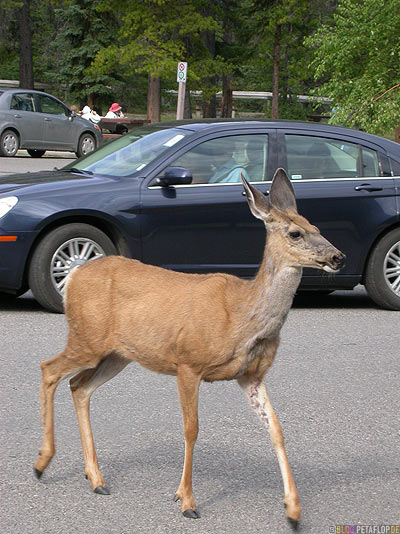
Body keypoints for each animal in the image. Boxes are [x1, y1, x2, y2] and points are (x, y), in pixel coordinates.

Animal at [32, 170, 344, 528]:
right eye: (295, 232)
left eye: (317, 227)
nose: (338, 257)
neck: (242, 316)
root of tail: (74, 275)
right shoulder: (188, 363)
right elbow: (191, 429)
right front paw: (186, 501)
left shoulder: (251, 375)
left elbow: (277, 429)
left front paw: (293, 509)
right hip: (87, 337)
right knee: (49, 369)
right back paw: (42, 463)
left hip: (117, 354)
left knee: (78, 386)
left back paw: (96, 478)